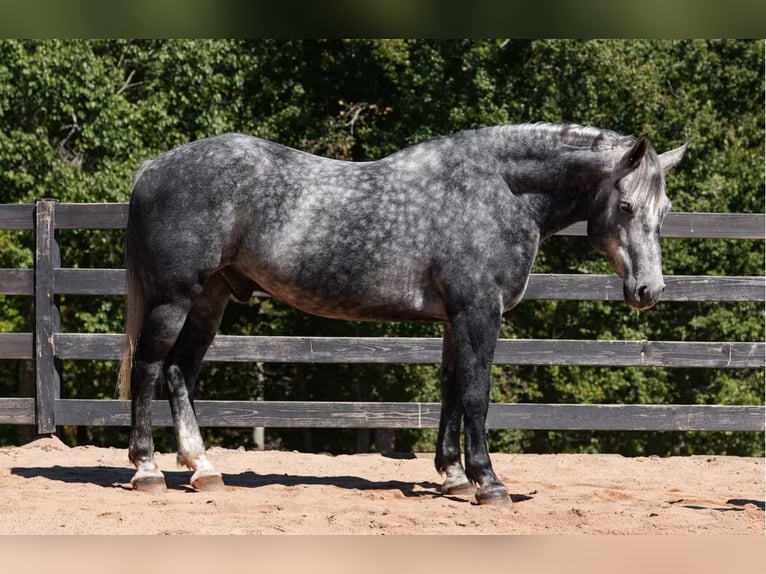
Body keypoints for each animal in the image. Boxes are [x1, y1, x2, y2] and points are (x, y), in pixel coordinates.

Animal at [119, 122, 687, 506]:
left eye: (663, 211)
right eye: (627, 207)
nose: (648, 290)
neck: (499, 190)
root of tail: (152, 168)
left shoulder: (457, 319)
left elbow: (452, 391)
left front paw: (454, 477)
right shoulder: (479, 312)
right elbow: (477, 395)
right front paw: (488, 483)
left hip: (211, 299)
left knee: (180, 371)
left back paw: (203, 468)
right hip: (175, 299)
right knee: (149, 368)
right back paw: (147, 470)